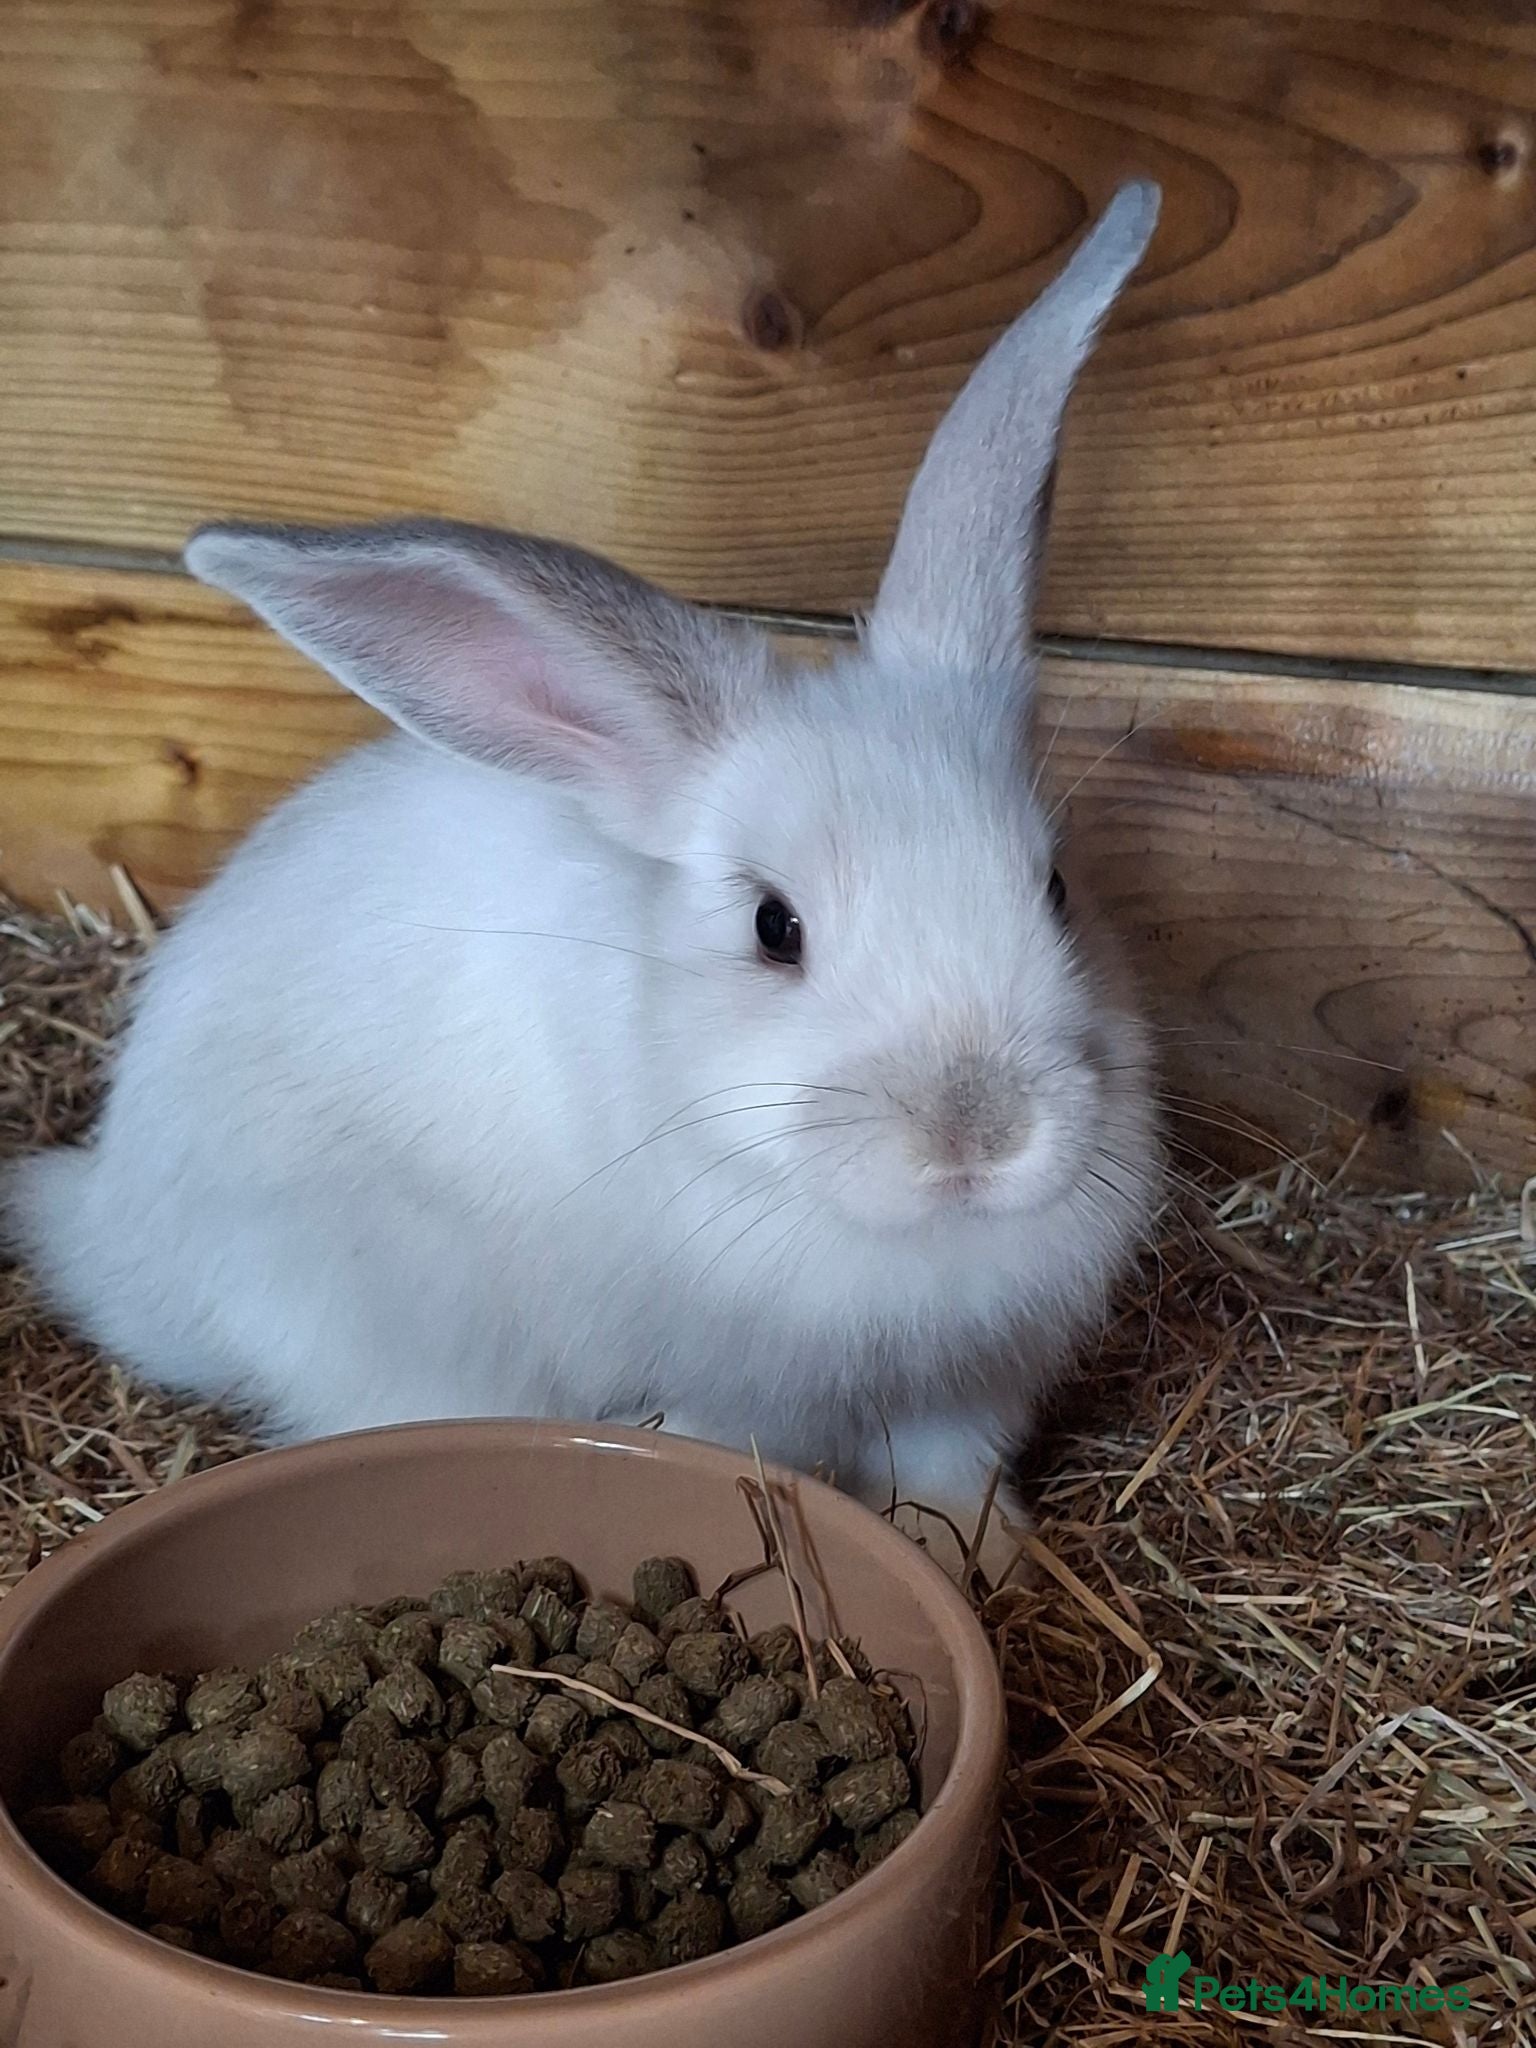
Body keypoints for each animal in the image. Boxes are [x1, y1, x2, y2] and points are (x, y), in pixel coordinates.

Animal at [8, 182, 1162, 1584]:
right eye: (775, 928)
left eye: (1054, 889)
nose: (978, 1136)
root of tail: (113, 1222)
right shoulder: (730, 1375)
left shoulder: (969, 1382)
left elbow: (950, 1470)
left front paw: (980, 1553)